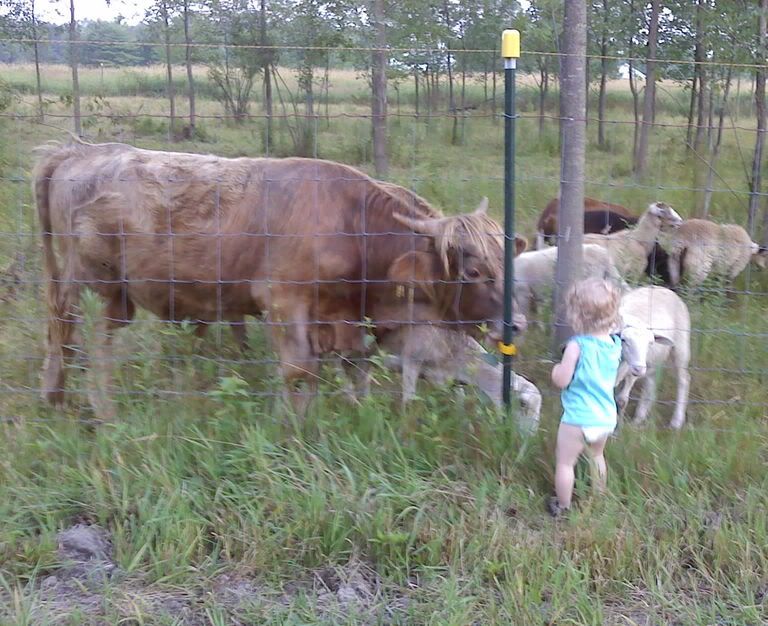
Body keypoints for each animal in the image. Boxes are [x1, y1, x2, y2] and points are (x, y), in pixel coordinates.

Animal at [35, 138, 526, 419]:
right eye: (474, 271)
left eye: (508, 262)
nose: (517, 324)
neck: (352, 226)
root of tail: (80, 152)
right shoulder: (285, 303)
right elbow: (299, 372)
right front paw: (294, 428)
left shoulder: (345, 319)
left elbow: (357, 369)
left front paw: (358, 413)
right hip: (92, 285)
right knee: (76, 335)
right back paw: (89, 406)